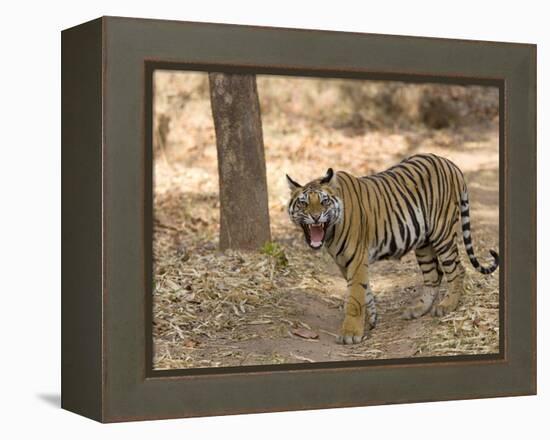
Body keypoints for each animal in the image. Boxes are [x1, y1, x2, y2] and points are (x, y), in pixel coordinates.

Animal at [288, 153, 500, 346]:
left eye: (324, 202)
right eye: (303, 203)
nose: (316, 217)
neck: (330, 231)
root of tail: (449, 163)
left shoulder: (356, 259)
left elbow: (355, 297)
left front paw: (350, 333)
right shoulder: (344, 263)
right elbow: (365, 291)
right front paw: (372, 320)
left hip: (443, 233)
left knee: (457, 269)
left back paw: (447, 306)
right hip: (423, 243)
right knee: (434, 275)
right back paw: (418, 310)